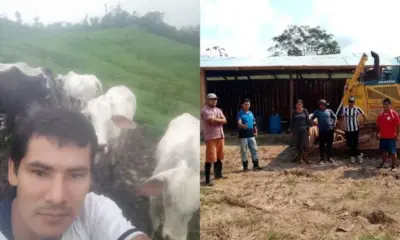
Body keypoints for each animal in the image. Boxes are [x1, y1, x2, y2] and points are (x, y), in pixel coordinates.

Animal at [138, 112, 200, 240]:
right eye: (168, 199)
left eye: (195, 210)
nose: (174, 238)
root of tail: (187, 114)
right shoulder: (154, 202)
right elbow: (155, 225)